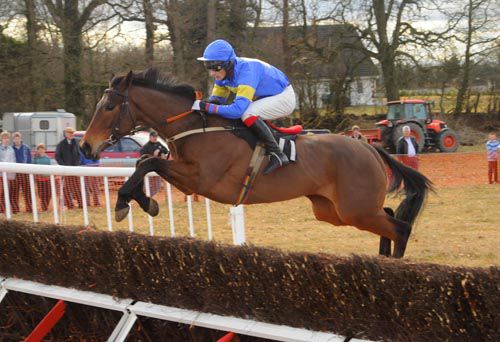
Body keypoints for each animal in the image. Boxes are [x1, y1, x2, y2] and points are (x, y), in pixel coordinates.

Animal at [80, 68, 432, 258]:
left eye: (108, 106)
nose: (86, 144)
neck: (196, 126)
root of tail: (370, 148)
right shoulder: (188, 177)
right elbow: (146, 160)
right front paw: (143, 202)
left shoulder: (200, 180)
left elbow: (148, 162)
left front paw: (125, 202)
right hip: (337, 211)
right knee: (388, 215)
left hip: (352, 209)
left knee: (400, 227)